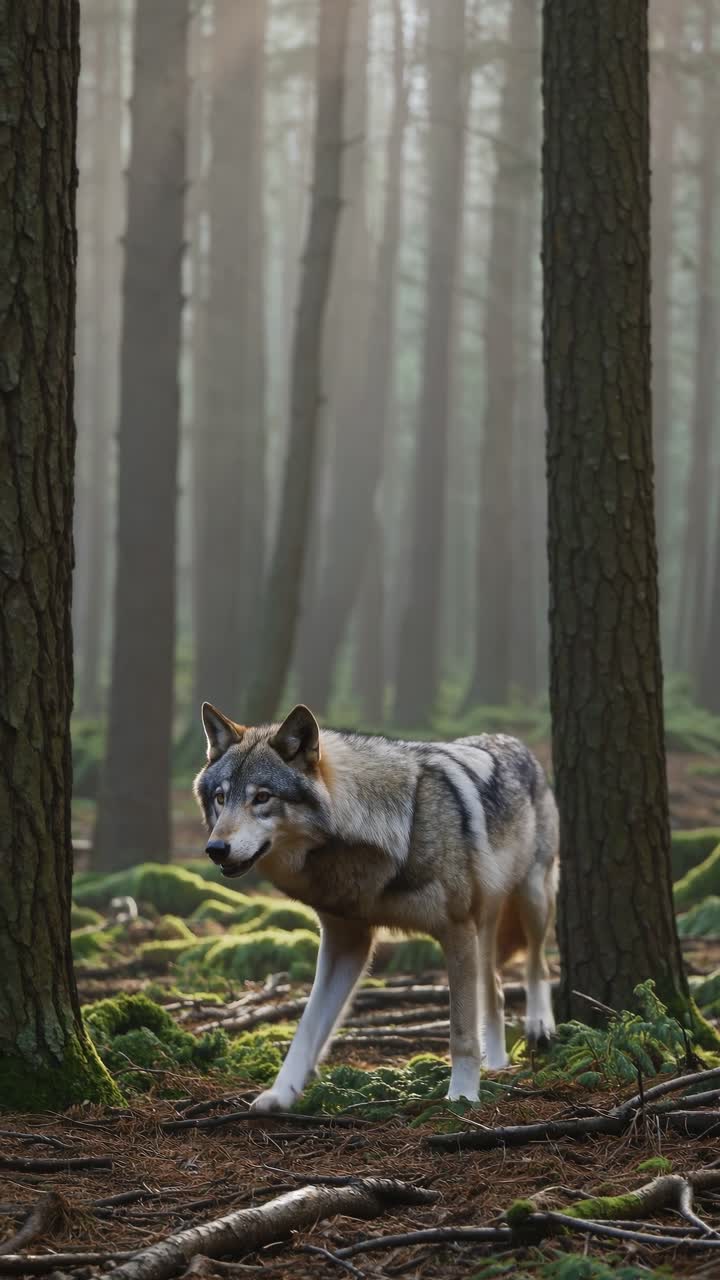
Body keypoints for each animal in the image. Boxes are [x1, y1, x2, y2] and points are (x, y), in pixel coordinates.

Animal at [194, 702, 559, 1113]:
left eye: (262, 797)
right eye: (221, 797)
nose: (215, 849)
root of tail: (514, 741)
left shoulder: (456, 930)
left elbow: (461, 1033)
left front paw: (462, 1096)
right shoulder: (345, 941)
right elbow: (307, 1027)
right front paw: (281, 1093)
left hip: (532, 898)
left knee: (537, 964)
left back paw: (539, 1027)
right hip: (485, 926)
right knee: (494, 992)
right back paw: (496, 1064)